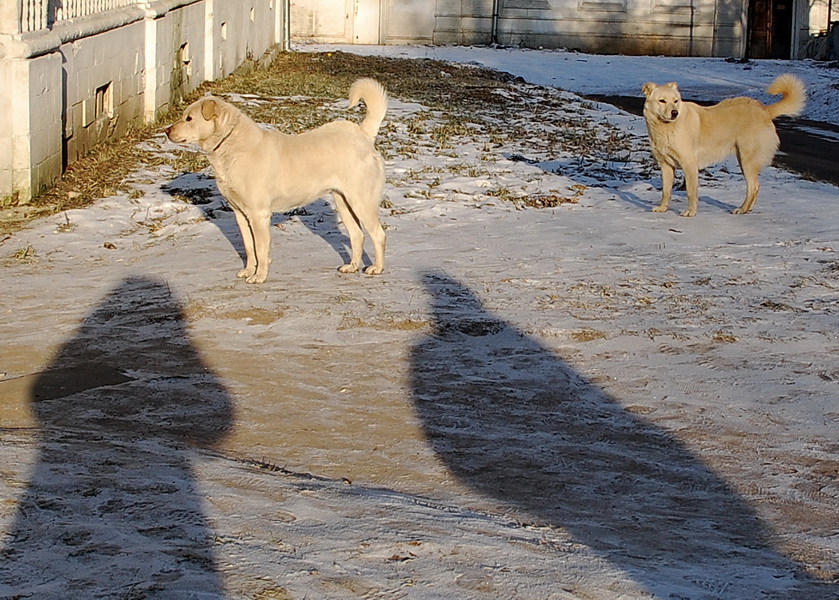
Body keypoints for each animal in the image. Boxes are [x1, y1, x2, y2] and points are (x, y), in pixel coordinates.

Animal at [167, 78, 390, 282]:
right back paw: (352, 266)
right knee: (357, 235)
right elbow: (249, 247)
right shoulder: (240, 215)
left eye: (189, 118)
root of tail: (362, 134)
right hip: (343, 202)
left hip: (361, 201)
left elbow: (260, 248)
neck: (231, 146)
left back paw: (377, 268)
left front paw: (259, 276)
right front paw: (249, 271)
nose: (166, 131)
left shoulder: (259, 215)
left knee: (378, 234)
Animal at [644, 74, 808, 217]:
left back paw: (742, 209)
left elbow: (691, 192)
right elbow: (666, 192)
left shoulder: (689, 165)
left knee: (753, 187)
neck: (667, 127)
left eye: (676, 101)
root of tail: (765, 111)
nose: (674, 113)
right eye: (662, 101)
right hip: (742, 160)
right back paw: (747, 209)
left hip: (747, 161)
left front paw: (691, 212)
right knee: (755, 187)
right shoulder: (666, 166)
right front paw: (663, 208)